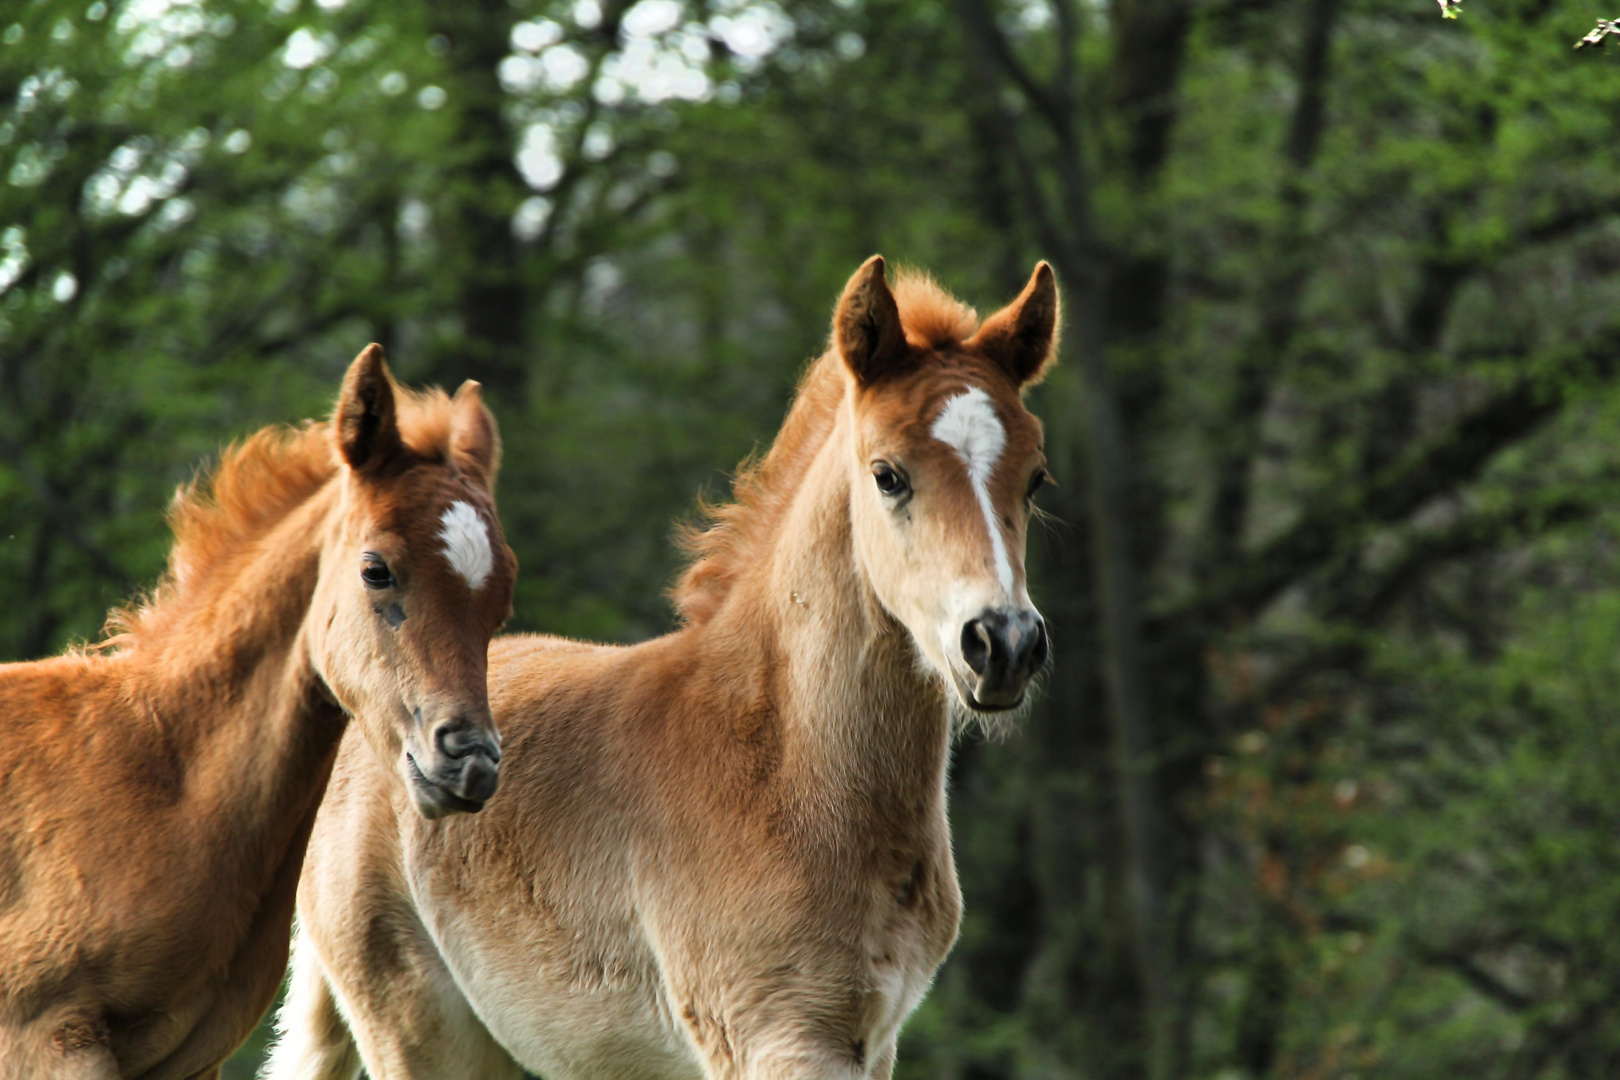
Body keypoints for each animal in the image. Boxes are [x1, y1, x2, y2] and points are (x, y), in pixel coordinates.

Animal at [0, 351, 511, 1080]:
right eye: (376, 569)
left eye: (503, 596)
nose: (469, 760)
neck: (158, 778)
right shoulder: (46, 1036)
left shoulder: (190, 1060)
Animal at [268, 262, 1049, 1080]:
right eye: (888, 475)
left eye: (1036, 479)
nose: (1003, 642)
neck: (786, 762)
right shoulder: (775, 1036)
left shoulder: (873, 1040)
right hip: (420, 1027)